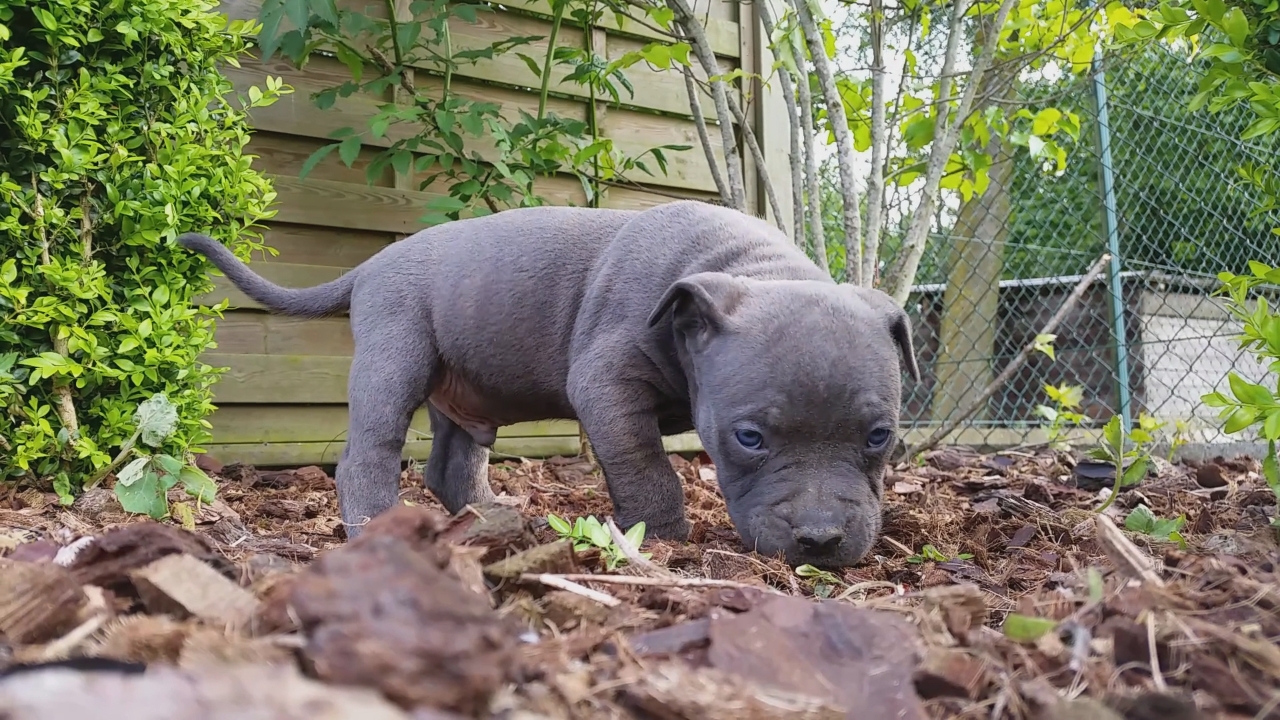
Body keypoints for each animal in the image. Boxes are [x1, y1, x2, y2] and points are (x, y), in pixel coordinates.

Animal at [183, 197, 921, 566]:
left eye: (879, 436)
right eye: (750, 438)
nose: (821, 542)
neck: (749, 266)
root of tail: (371, 264)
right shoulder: (606, 383)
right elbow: (645, 463)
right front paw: (663, 534)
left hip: (462, 387)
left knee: (452, 462)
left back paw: (488, 516)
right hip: (395, 353)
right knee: (370, 449)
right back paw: (372, 521)